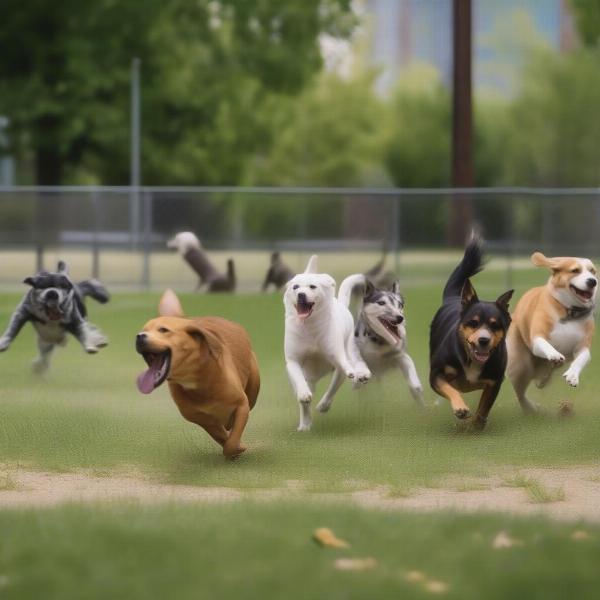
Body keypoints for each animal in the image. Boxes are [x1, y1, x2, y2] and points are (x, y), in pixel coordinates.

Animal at [135, 288, 258, 458]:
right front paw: (234, 448)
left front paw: (236, 447)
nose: (139, 336)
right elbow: (222, 437)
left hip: (253, 387)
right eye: (143, 330)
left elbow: (232, 439)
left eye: (163, 330)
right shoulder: (202, 419)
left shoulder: (241, 405)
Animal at [282, 254, 370, 432]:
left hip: (349, 349)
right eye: (295, 287)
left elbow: (335, 384)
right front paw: (304, 398)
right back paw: (305, 423)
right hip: (310, 377)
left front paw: (323, 406)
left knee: (353, 364)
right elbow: (299, 382)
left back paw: (361, 374)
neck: (309, 327)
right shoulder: (293, 361)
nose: (301, 294)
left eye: (312, 287)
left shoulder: (337, 358)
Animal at [428, 237, 512, 428]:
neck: (472, 360)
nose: (483, 340)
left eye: (495, 326)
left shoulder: (495, 381)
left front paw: (476, 424)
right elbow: (449, 388)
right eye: (473, 323)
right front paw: (461, 408)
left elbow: (484, 407)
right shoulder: (436, 374)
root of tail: (454, 298)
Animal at [506, 250, 596, 412]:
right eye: (575, 270)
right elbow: (544, 343)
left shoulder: (583, 346)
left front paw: (572, 376)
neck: (569, 312)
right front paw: (554, 354)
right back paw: (529, 408)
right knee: (520, 392)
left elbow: (581, 358)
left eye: (593, 271)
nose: (593, 281)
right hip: (520, 364)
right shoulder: (537, 338)